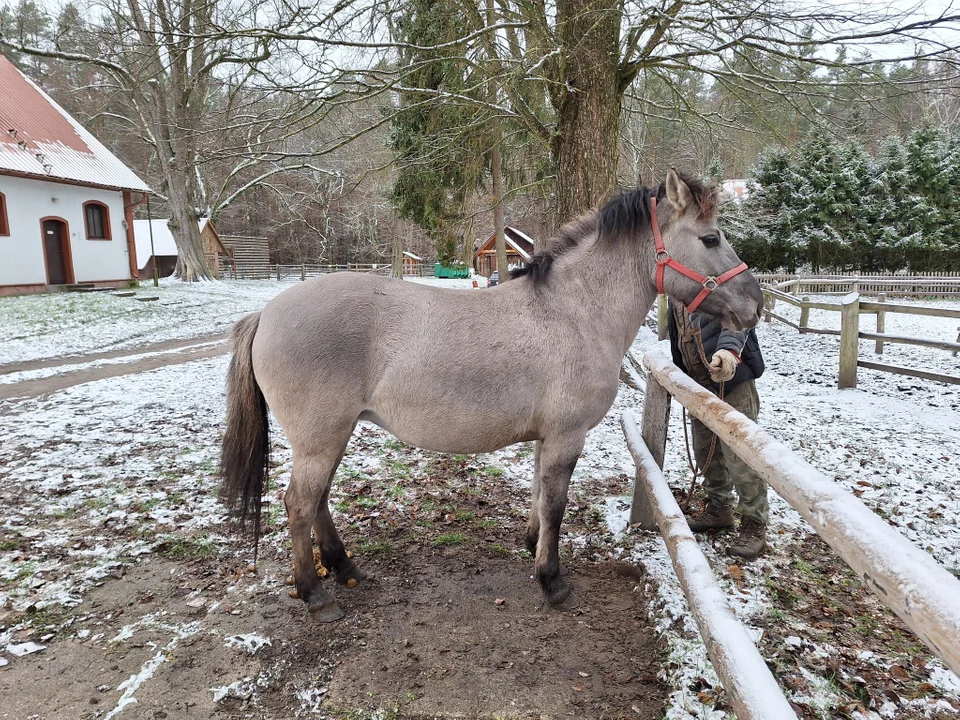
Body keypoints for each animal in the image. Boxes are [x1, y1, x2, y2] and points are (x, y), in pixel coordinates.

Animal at [219, 169, 764, 620]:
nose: (754, 305)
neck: (573, 313)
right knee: (299, 504)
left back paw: (345, 567)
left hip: (331, 435)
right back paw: (315, 595)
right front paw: (552, 581)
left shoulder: (547, 437)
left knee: (318, 501)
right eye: (710, 238)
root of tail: (265, 313)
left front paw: (532, 546)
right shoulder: (567, 436)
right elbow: (556, 504)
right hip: (321, 437)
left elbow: (540, 495)